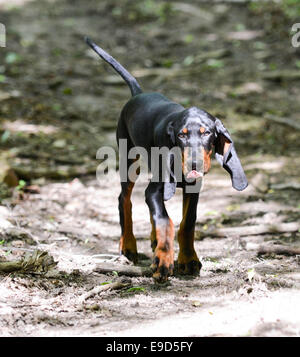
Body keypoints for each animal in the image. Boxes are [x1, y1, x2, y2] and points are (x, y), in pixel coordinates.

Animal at [85, 36, 248, 280]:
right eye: (181, 135)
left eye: (207, 133)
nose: (194, 164)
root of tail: (138, 93)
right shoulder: (155, 188)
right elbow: (164, 219)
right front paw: (163, 259)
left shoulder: (193, 188)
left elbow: (187, 223)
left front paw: (188, 259)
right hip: (130, 161)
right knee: (124, 199)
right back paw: (129, 245)